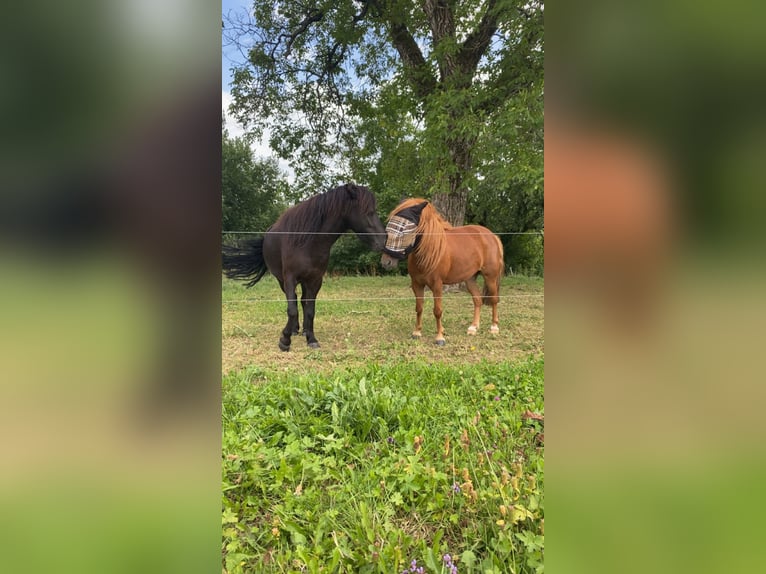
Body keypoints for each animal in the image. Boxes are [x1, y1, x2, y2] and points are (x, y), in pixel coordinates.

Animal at [225, 183, 388, 352]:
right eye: (369, 212)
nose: (384, 239)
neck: (308, 242)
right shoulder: (290, 278)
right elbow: (291, 310)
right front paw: (285, 340)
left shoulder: (315, 280)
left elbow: (310, 310)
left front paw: (311, 338)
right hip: (282, 281)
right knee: (294, 302)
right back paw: (294, 330)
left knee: (303, 301)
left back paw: (303, 330)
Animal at [380, 201, 508, 346]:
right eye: (389, 228)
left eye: (403, 230)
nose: (386, 262)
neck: (429, 250)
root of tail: (492, 235)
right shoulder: (417, 284)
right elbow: (419, 307)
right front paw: (417, 332)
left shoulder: (437, 285)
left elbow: (437, 311)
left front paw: (439, 337)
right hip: (470, 279)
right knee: (477, 300)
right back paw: (473, 328)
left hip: (490, 277)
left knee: (494, 299)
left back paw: (494, 327)